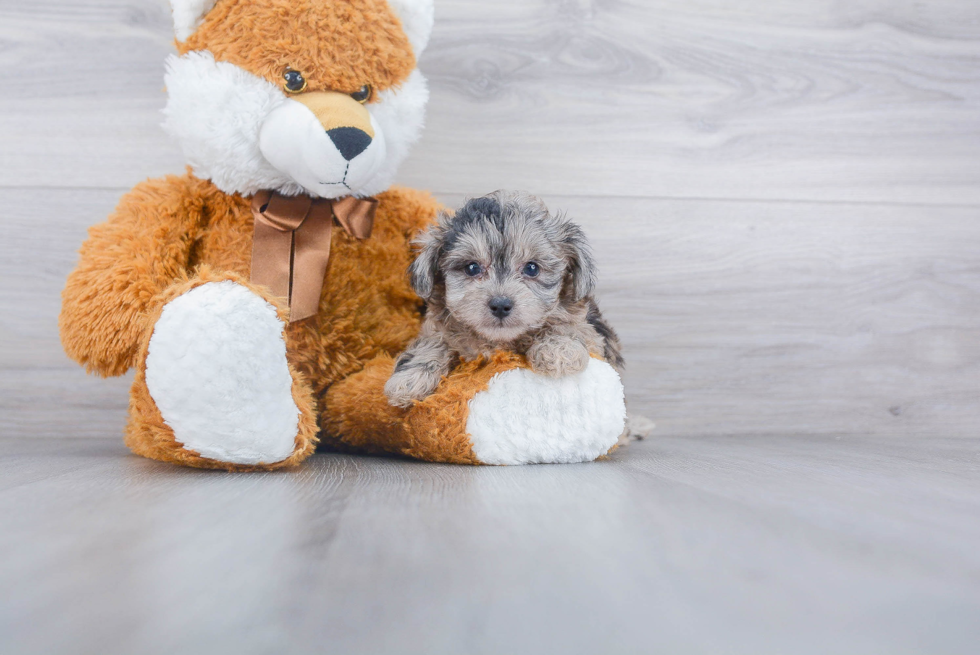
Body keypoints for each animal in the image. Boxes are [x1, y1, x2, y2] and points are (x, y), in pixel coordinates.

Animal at [380, 188, 620, 410]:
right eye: (472, 268)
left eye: (532, 268)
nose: (501, 305)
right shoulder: (437, 327)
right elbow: (433, 340)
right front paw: (409, 379)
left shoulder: (593, 333)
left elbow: (571, 325)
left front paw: (559, 350)